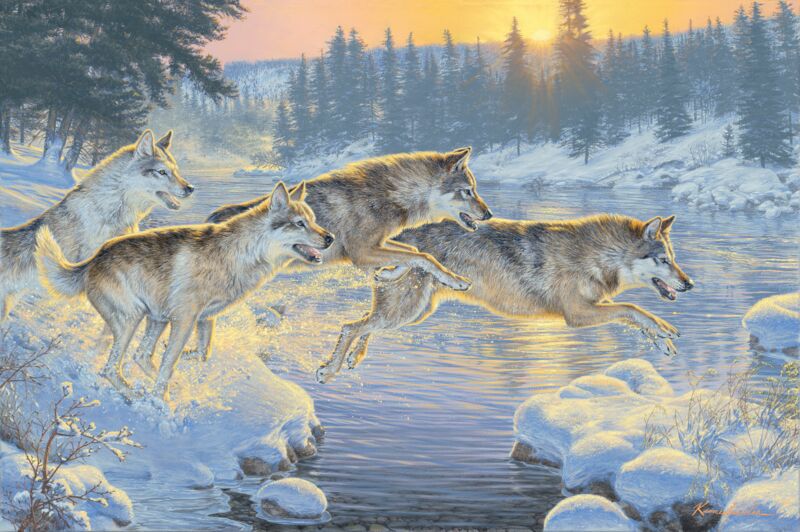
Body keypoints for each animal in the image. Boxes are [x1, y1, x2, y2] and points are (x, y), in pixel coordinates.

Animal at [35, 181, 333, 401]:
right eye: (299, 223)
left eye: (314, 220)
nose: (330, 238)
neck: (241, 253)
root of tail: (94, 259)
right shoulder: (185, 320)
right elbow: (170, 364)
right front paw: (160, 403)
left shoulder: (205, 318)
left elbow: (202, 354)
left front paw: (180, 371)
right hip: (135, 319)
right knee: (110, 368)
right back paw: (135, 395)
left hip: (154, 318)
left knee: (137, 356)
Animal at [207, 147, 493, 290]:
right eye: (469, 191)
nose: (489, 213)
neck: (390, 195)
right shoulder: (362, 252)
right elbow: (423, 256)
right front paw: (456, 281)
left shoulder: (378, 244)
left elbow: (414, 253)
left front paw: (387, 275)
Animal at [318, 214, 694, 383]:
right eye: (664, 260)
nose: (690, 283)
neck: (599, 255)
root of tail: (399, 237)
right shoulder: (576, 315)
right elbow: (633, 308)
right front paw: (665, 331)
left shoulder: (593, 308)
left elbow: (635, 315)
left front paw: (662, 340)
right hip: (406, 311)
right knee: (351, 325)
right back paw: (328, 370)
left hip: (413, 313)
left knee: (362, 326)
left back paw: (352, 360)